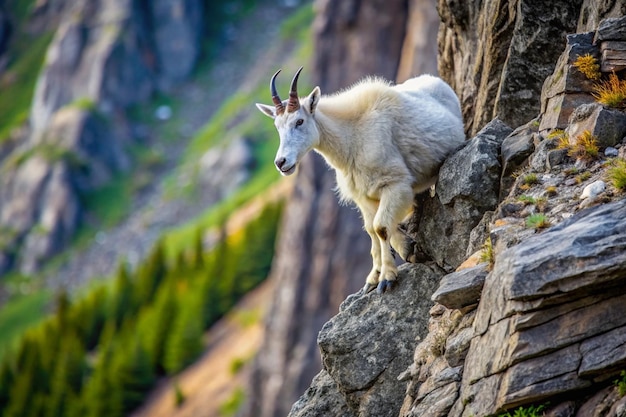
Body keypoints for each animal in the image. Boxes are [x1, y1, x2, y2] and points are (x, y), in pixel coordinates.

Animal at [255, 67, 464, 292]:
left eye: (299, 121)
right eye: (277, 126)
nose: (281, 162)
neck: (351, 139)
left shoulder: (395, 183)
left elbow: (381, 227)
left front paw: (386, 278)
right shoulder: (363, 196)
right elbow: (371, 229)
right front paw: (376, 275)